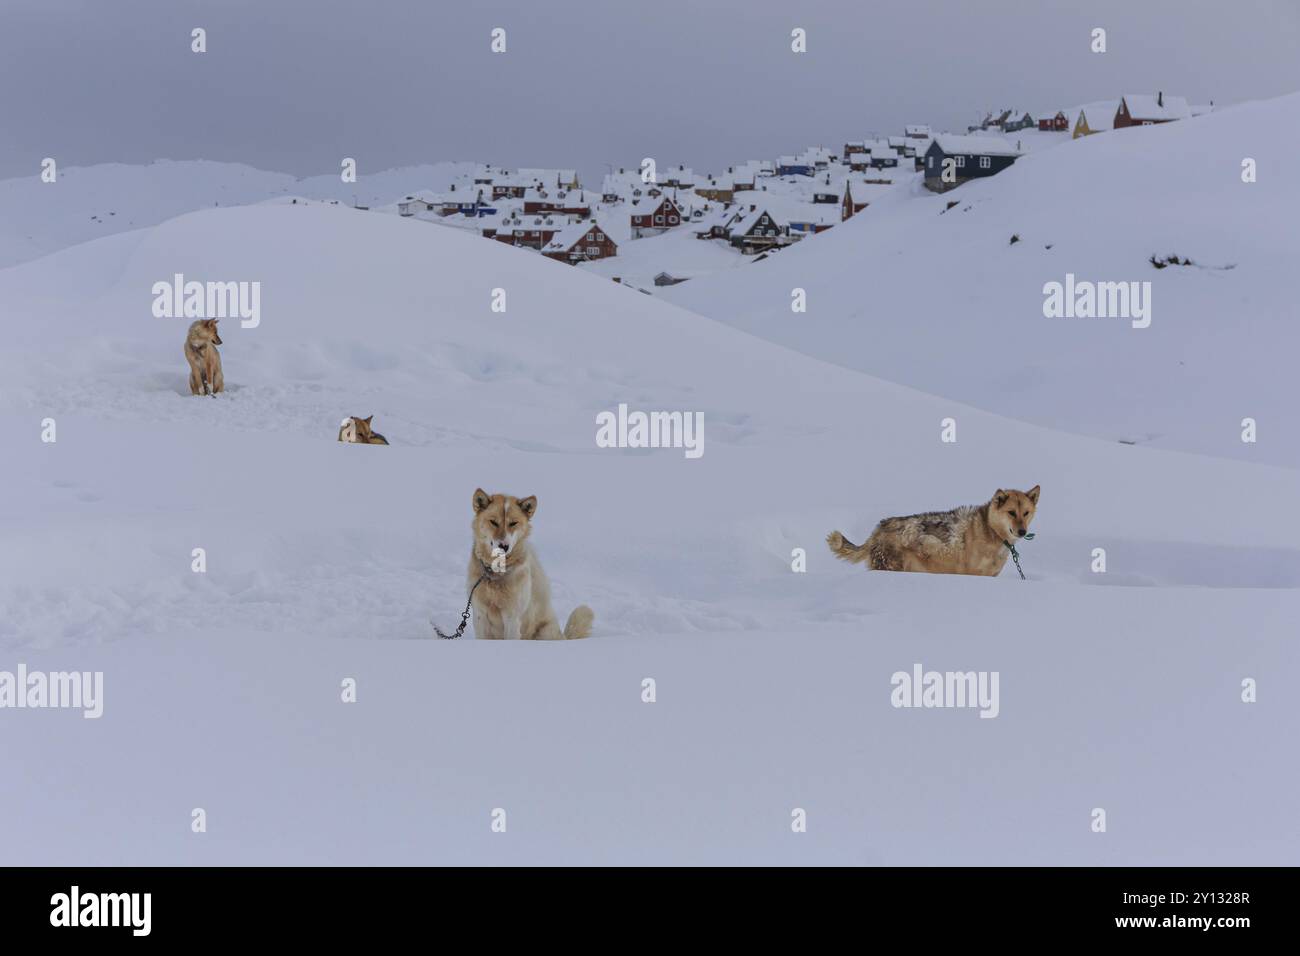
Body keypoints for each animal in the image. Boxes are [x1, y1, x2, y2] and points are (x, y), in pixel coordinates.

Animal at [467, 489, 595, 639]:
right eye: (493, 522)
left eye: (513, 523)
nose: (504, 546)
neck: (496, 571)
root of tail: (563, 637)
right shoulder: (480, 615)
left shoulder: (512, 618)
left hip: (544, 632)